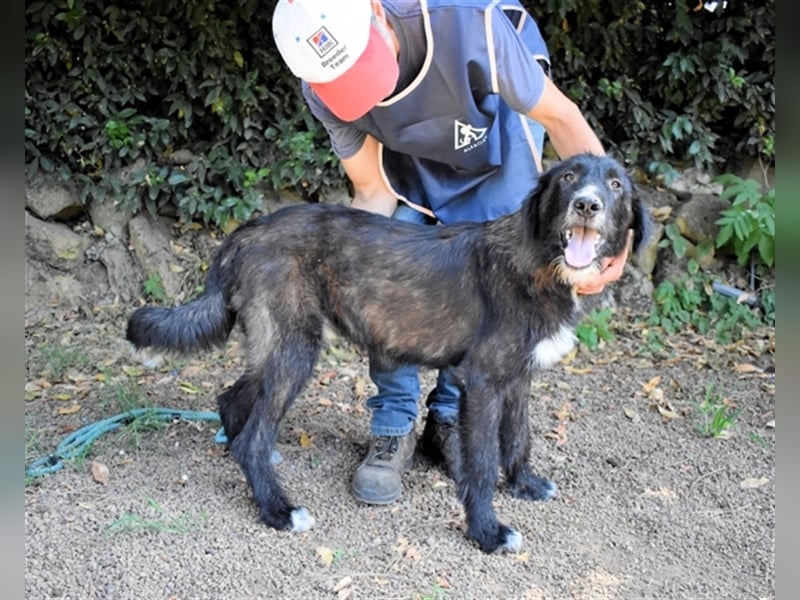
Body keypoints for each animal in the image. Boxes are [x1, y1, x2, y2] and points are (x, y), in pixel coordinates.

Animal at [125, 154, 648, 552]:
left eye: (616, 184)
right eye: (567, 178)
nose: (586, 204)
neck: (538, 261)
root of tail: (248, 230)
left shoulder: (518, 376)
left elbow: (519, 436)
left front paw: (525, 484)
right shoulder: (482, 381)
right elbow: (482, 464)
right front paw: (487, 532)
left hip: (276, 345)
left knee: (234, 400)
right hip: (296, 348)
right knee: (251, 432)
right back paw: (277, 508)